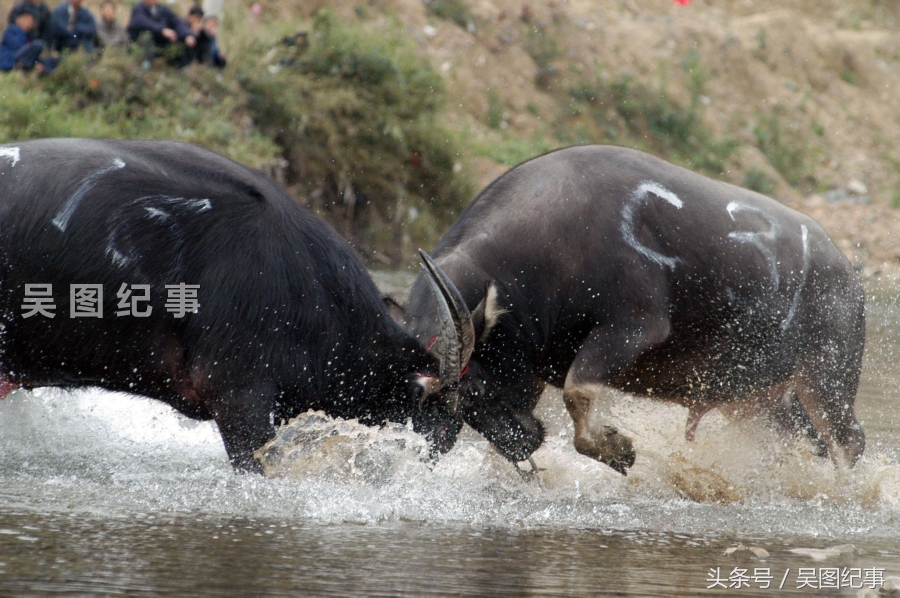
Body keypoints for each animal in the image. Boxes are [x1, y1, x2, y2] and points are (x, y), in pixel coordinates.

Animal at [402, 144, 864, 474]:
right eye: (429, 404)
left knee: (849, 443)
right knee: (804, 441)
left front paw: (617, 450)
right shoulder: (529, 368)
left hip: (828, 380)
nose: (520, 443)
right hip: (761, 401)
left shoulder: (634, 328)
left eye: (471, 391)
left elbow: (577, 391)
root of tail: (847, 272)